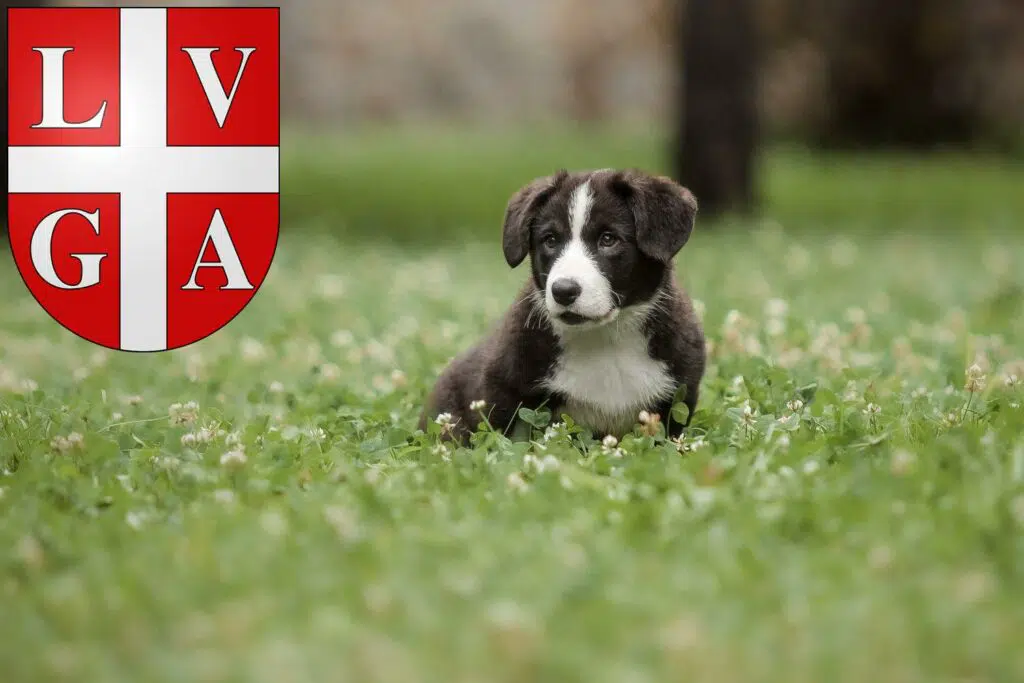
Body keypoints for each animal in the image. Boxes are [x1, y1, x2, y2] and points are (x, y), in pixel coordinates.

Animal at [419, 167, 708, 440]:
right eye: (550, 240)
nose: (563, 291)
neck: (606, 338)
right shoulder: (504, 391)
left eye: (608, 239)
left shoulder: (678, 394)